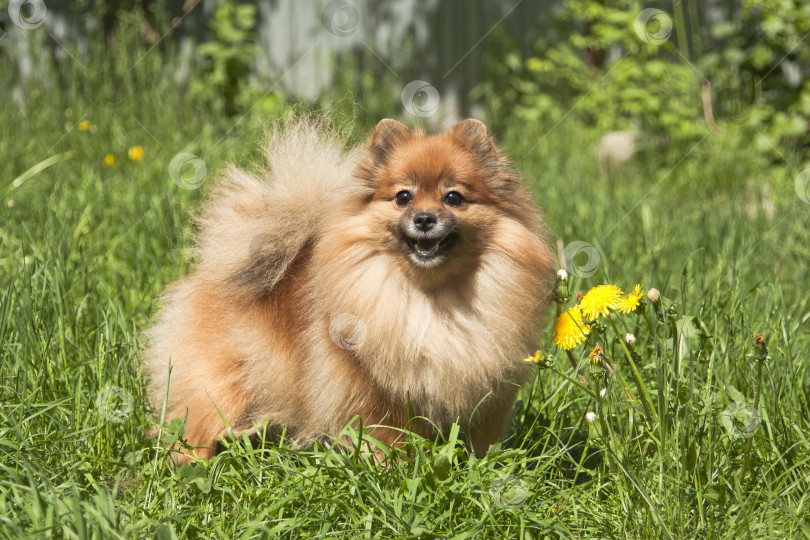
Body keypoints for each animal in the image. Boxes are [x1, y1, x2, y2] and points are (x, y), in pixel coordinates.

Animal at [142, 117, 552, 460]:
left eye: (453, 197)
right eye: (403, 196)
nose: (423, 218)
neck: (432, 298)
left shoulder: (487, 396)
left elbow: (477, 442)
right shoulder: (374, 394)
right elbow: (388, 440)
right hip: (222, 386)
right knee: (193, 428)